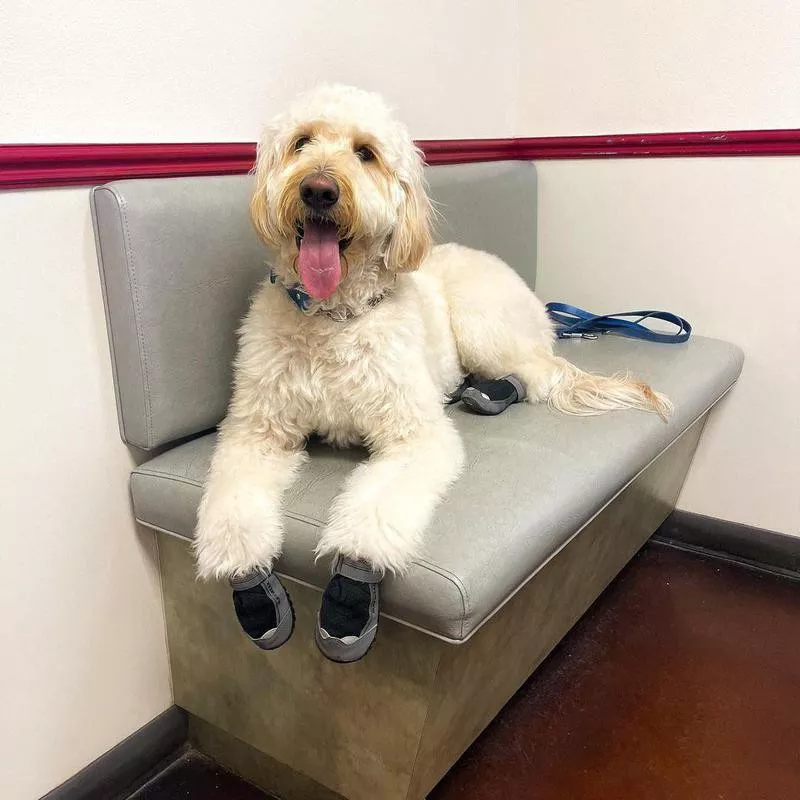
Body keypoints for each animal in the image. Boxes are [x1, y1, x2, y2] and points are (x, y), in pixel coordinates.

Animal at [194, 84, 668, 580]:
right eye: (301, 142)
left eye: (365, 153)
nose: (318, 189)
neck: (334, 318)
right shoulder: (256, 431)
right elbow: (234, 492)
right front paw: (236, 553)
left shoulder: (414, 434)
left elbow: (378, 505)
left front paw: (359, 554)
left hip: (480, 324)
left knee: (539, 375)